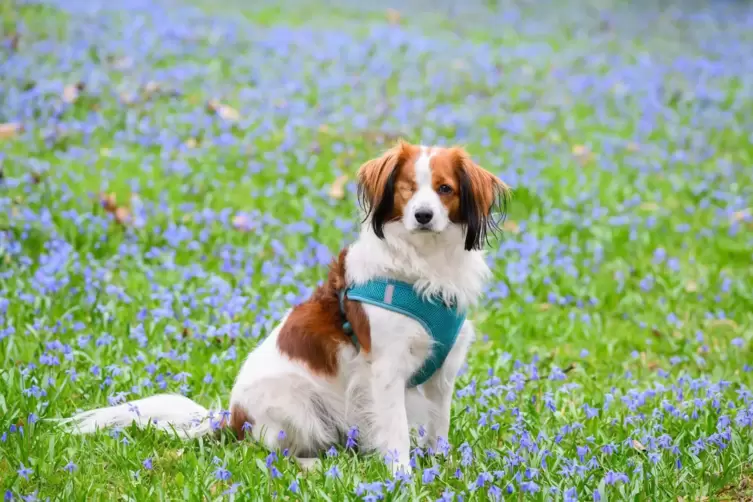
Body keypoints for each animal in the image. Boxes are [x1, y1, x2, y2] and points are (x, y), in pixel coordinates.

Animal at [61, 140, 508, 474]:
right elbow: (395, 430)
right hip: (293, 403)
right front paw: (402, 478)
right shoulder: (385, 371)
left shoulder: (443, 372)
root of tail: (231, 416)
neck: (424, 264)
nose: (423, 215)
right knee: (271, 452)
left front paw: (441, 466)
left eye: (445, 189)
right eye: (407, 188)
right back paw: (313, 465)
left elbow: (439, 425)